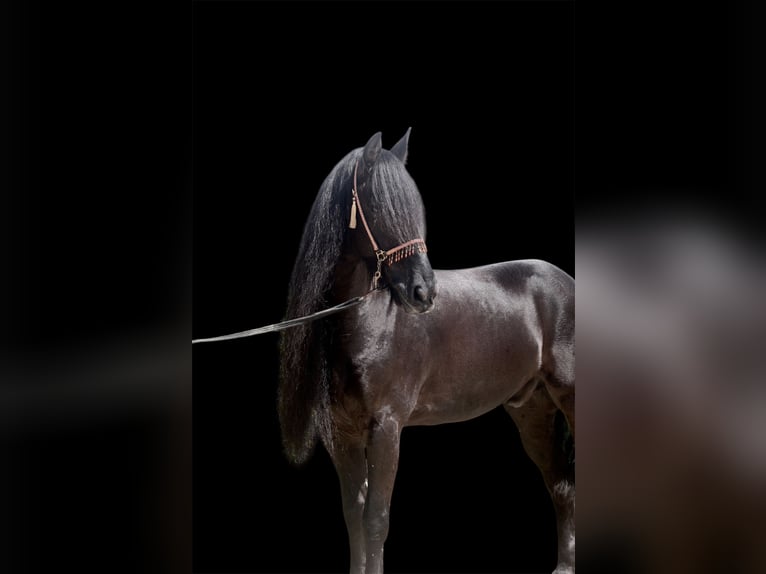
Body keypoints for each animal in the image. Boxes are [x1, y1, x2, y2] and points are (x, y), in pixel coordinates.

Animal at [278, 129, 575, 574]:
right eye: (379, 206)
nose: (423, 292)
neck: (365, 321)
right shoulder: (342, 433)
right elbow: (354, 515)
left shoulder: (386, 426)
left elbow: (376, 519)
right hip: (533, 410)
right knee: (561, 486)